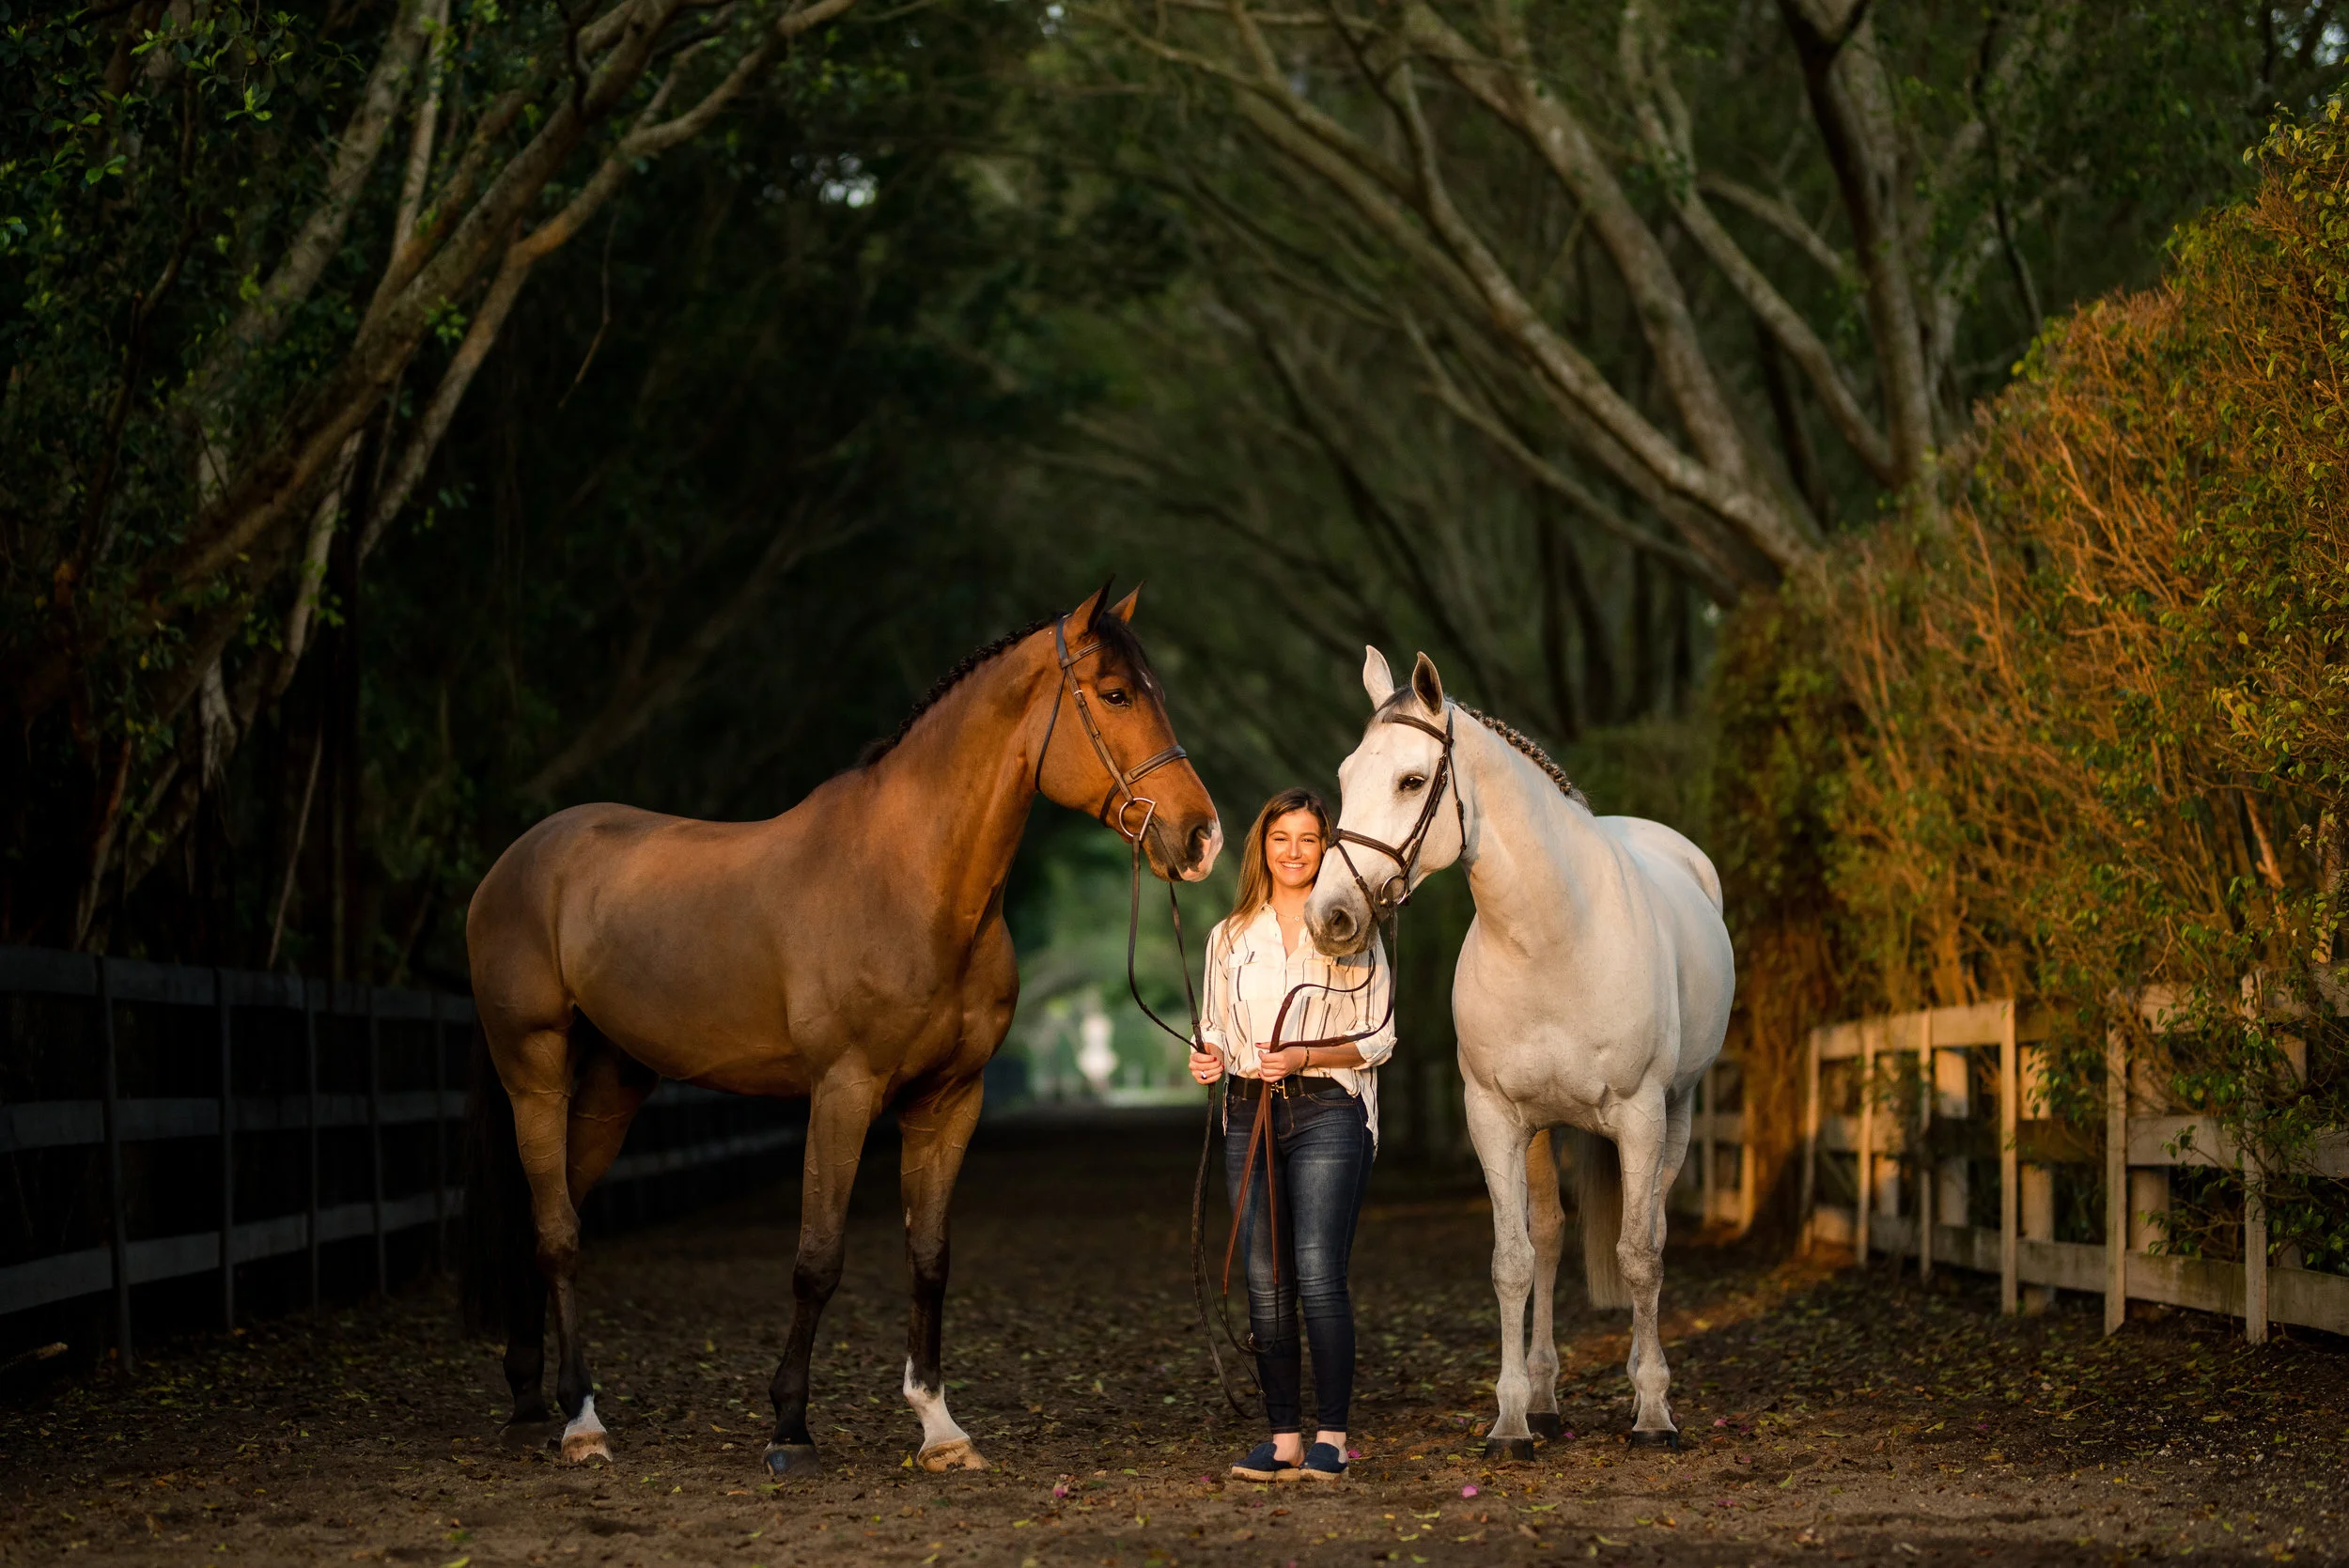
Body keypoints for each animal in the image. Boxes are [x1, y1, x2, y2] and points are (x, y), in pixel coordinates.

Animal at [461, 584, 1222, 1477]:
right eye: (1115, 694)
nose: (1201, 836)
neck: (908, 879)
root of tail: (512, 861)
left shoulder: (949, 1100)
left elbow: (929, 1256)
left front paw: (940, 1427)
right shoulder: (844, 1090)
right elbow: (818, 1258)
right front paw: (789, 1427)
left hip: (616, 1082)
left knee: (546, 1219)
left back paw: (527, 1400)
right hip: (534, 1067)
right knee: (558, 1234)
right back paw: (581, 1419)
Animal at [1305, 647, 1733, 1453]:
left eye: (1412, 780)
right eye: (1344, 777)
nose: (1330, 916)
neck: (1553, 935)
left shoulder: (1641, 1115)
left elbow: (1639, 1255)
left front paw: (1653, 1410)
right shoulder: (1495, 1117)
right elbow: (1514, 1261)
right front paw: (1509, 1420)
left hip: (1679, 1113)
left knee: (1652, 1232)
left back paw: (1640, 1386)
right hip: (1544, 1129)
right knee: (1552, 1235)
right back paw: (1543, 1398)